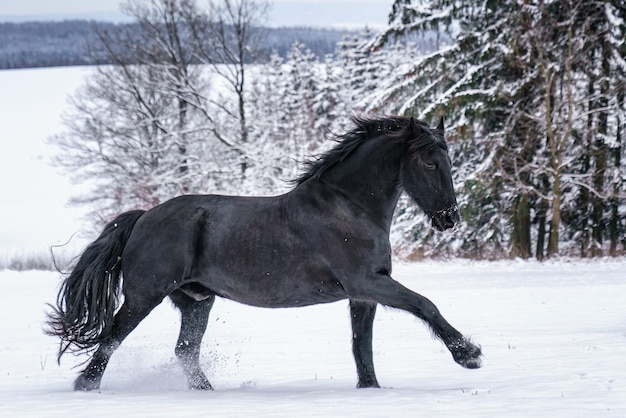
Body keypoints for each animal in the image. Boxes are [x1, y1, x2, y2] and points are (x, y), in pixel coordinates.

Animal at [45, 115, 482, 392]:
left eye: (448, 160)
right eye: (429, 162)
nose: (449, 218)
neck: (348, 206)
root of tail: (142, 217)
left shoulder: (363, 294)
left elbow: (362, 347)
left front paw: (370, 388)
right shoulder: (368, 283)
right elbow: (424, 305)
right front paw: (469, 355)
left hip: (196, 301)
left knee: (184, 351)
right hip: (143, 297)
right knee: (111, 340)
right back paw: (86, 387)